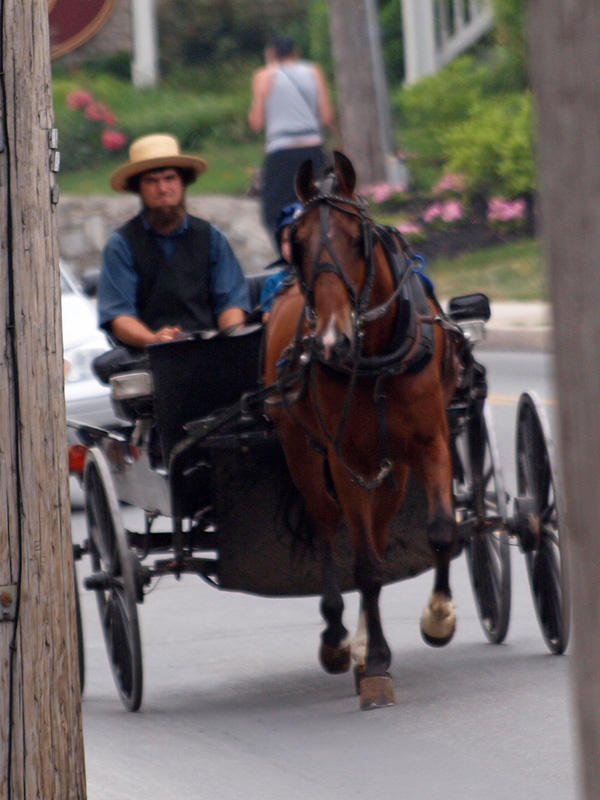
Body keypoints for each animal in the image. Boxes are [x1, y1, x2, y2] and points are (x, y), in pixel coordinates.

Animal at [264, 153, 464, 708]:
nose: (332, 340)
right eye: (296, 243)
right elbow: (367, 566)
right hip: (304, 454)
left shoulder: (431, 441)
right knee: (329, 527)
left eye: (359, 239)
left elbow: (442, 531)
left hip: (393, 469)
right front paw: (374, 663)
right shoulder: (344, 458)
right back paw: (339, 639)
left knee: (376, 527)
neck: (374, 354)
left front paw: (438, 618)